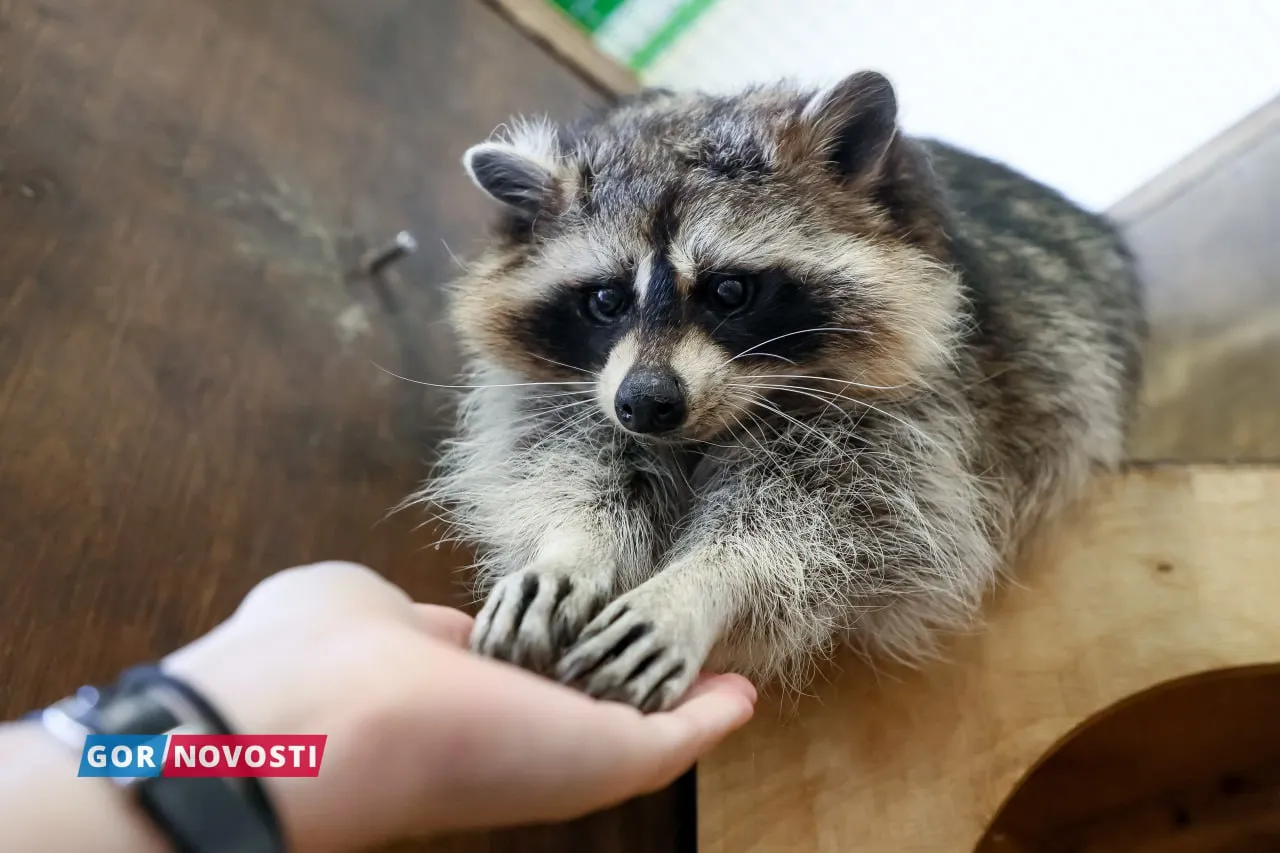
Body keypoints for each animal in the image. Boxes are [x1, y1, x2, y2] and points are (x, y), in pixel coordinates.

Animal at [419, 71, 1152, 712]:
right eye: (605, 300)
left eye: (729, 291)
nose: (647, 403)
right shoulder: (568, 394)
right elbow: (569, 461)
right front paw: (572, 548)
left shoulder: (923, 411)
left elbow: (846, 519)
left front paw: (703, 581)